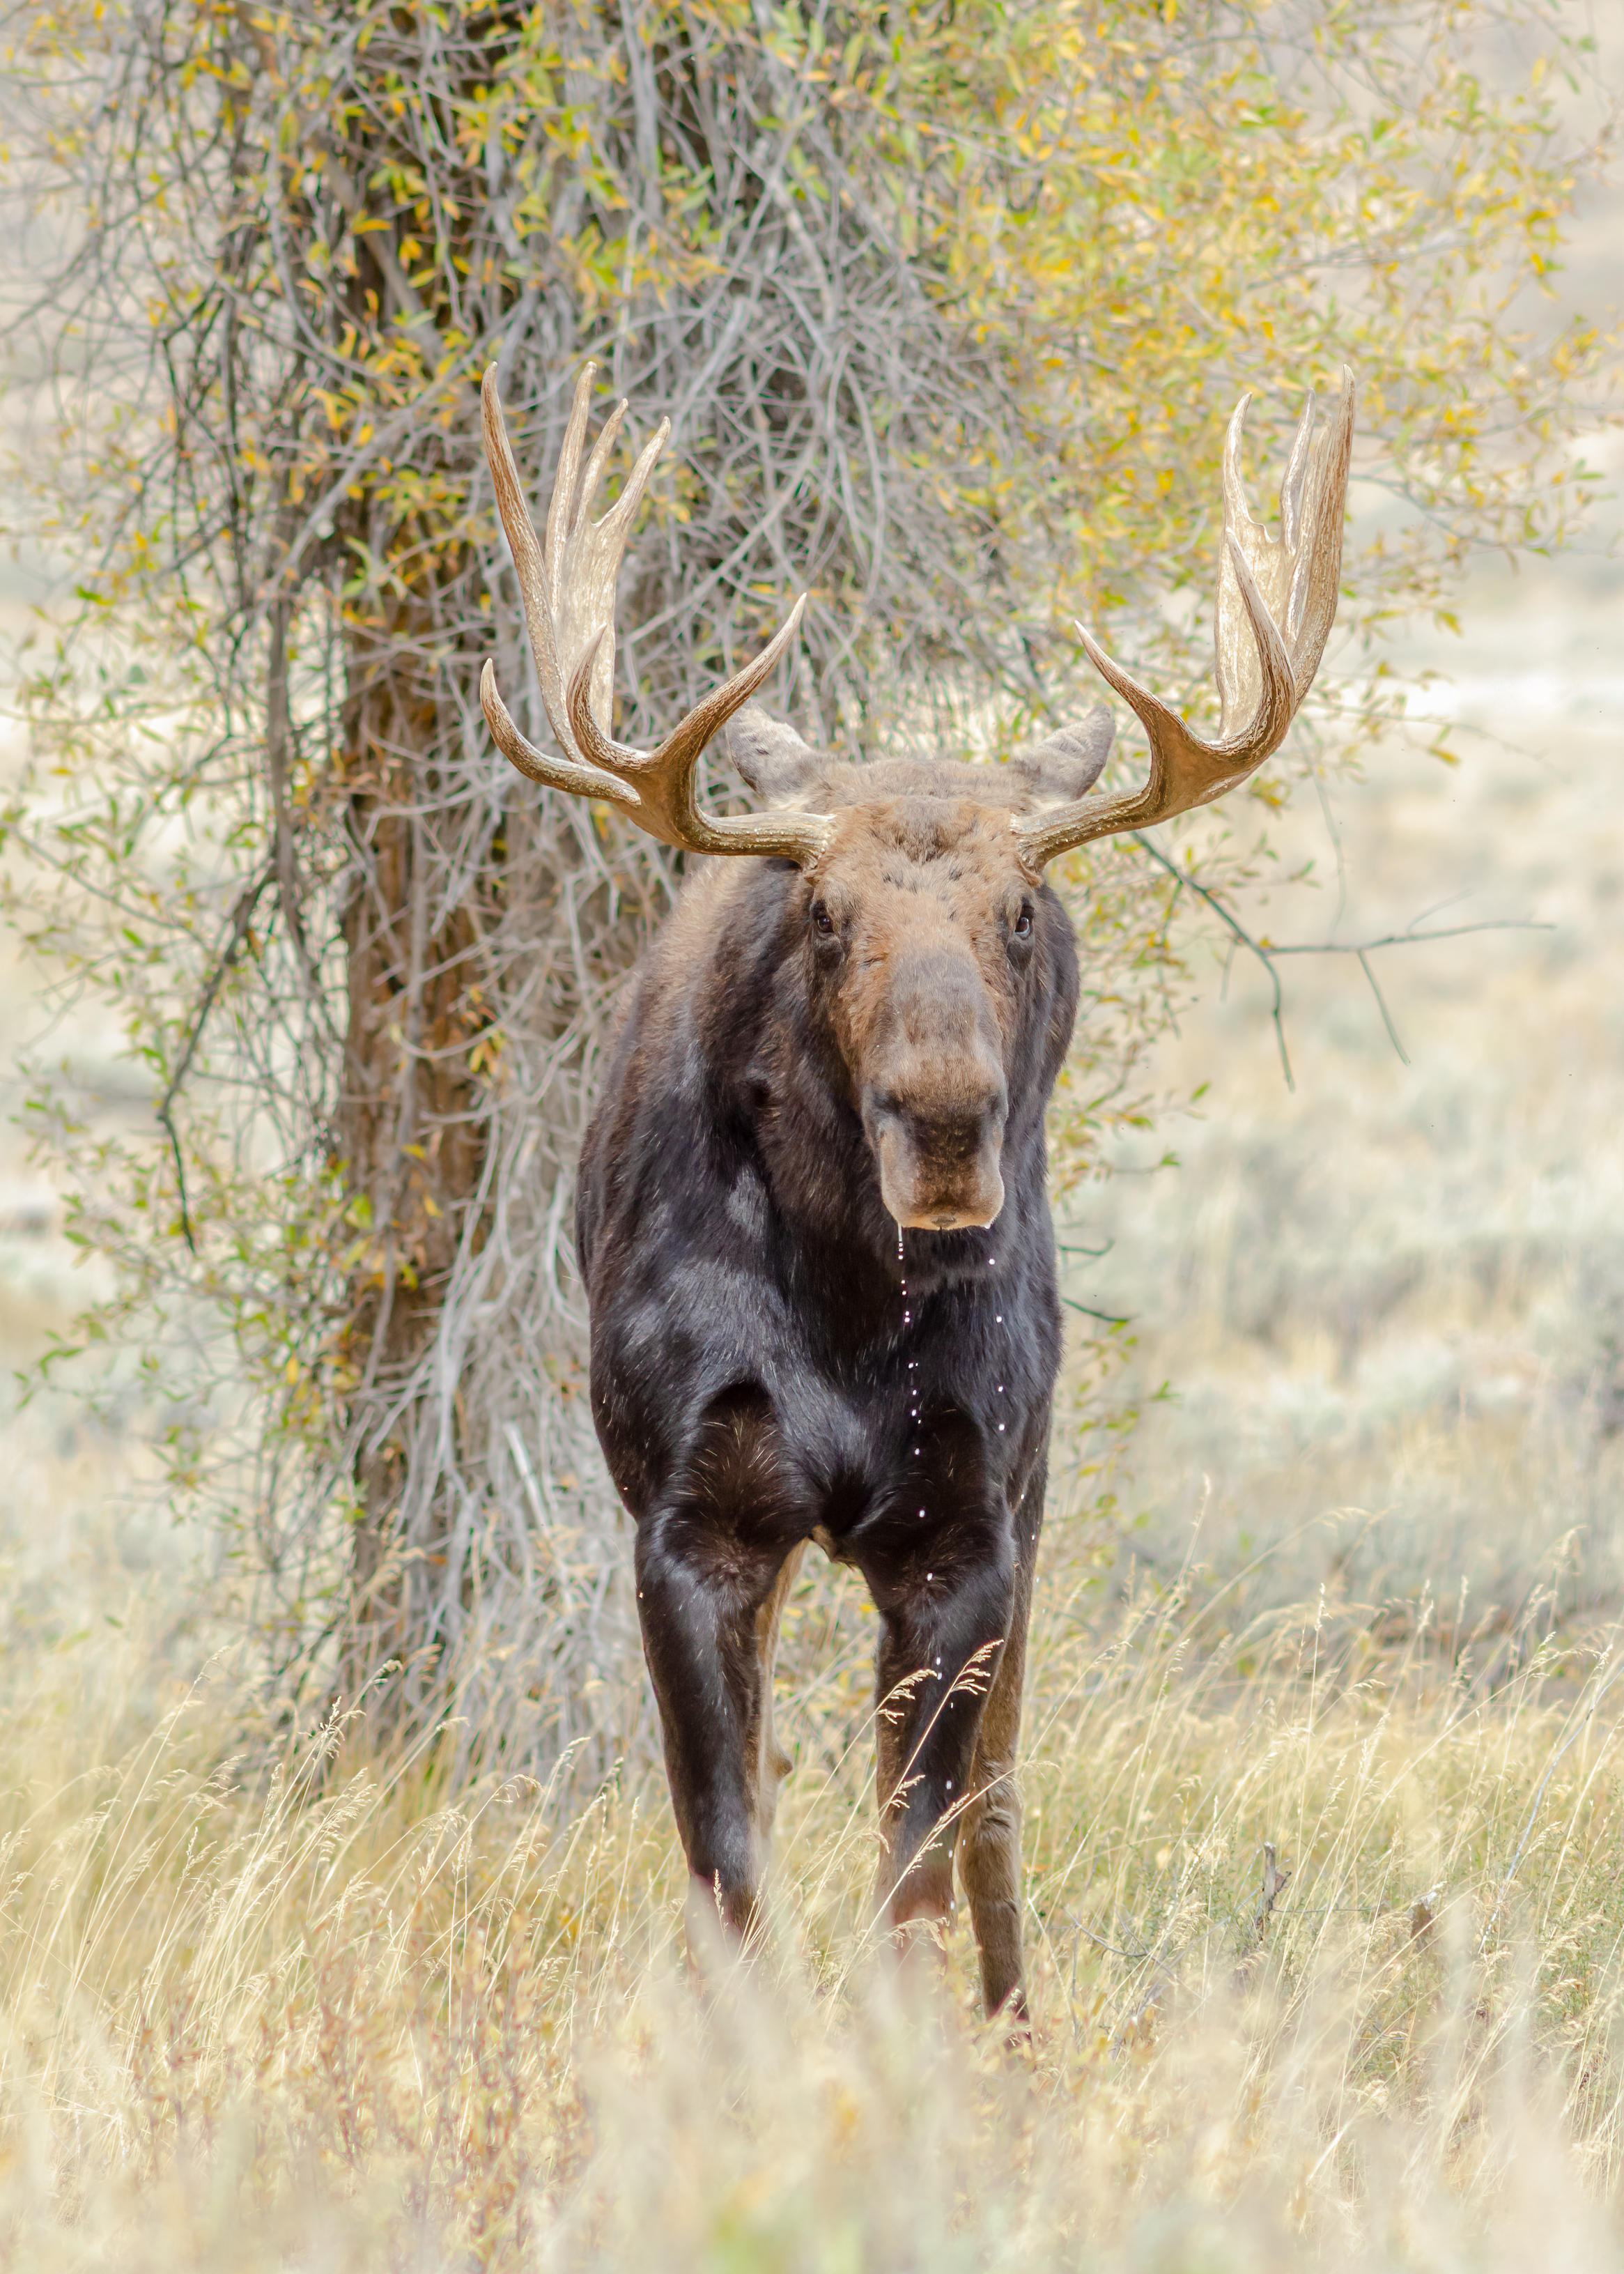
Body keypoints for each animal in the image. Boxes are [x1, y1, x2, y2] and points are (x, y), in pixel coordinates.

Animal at [480, 361, 1353, 2019]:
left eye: (1020, 907)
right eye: (823, 910)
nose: (944, 1122)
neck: (841, 1291)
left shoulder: (968, 1523)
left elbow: (920, 1874)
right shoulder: (690, 1512)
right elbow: (730, 1864)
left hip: (1038, 1483)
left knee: (1002, 1801)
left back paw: (1021, 2026)